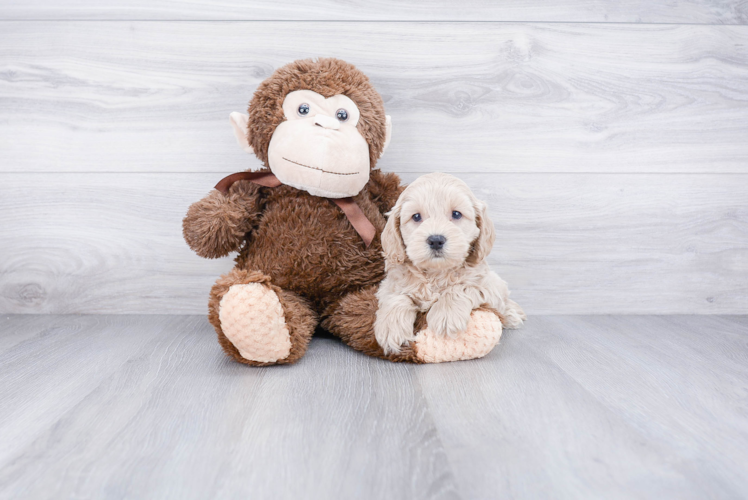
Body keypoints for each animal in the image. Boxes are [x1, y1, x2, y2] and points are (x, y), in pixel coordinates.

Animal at [374, 174, 524, 354]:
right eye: (416, 217)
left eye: (457, 214)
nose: (436, 240)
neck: (436, 273)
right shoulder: (389, 284)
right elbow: (396, 296)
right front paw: (391, 327)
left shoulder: (487, 284)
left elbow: (462, 287)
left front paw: (446, 314)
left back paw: (512, 313)